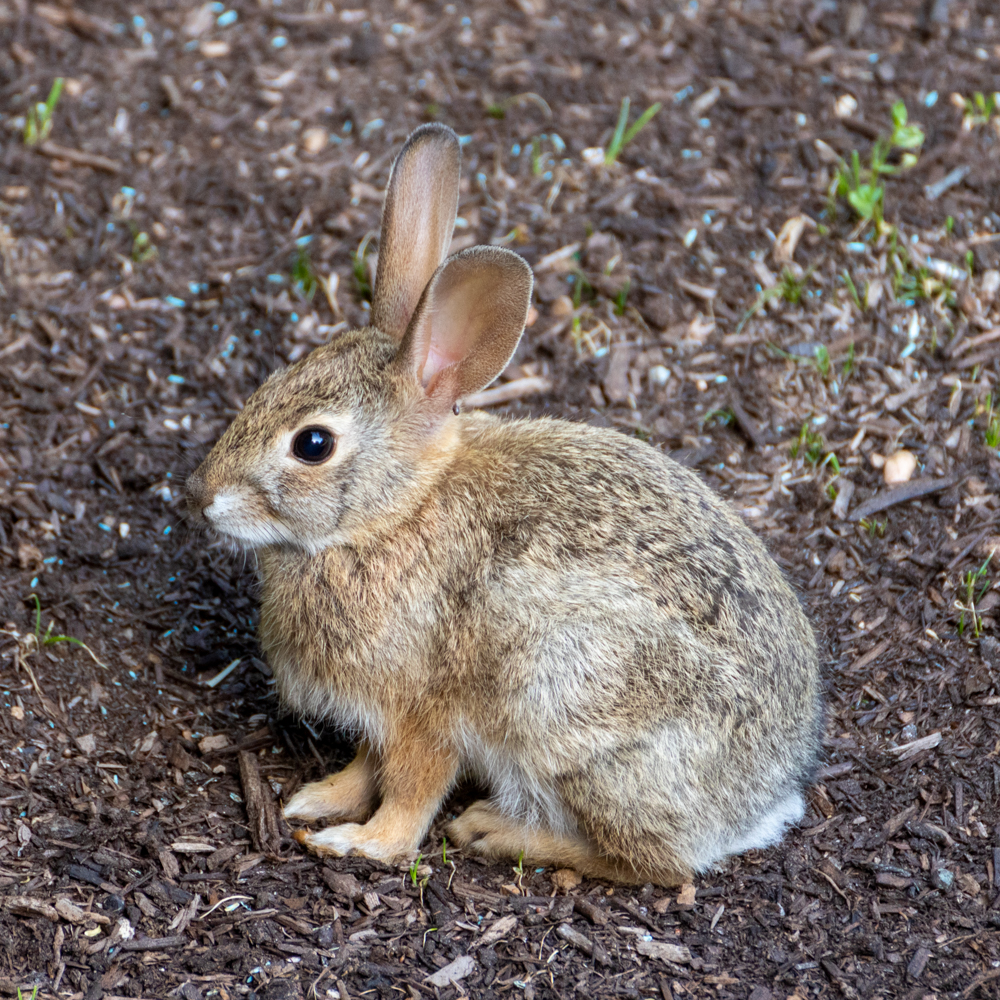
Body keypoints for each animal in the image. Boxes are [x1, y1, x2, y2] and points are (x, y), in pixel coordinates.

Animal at [186, 122, 822, 886]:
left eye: (312, 444)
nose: (202, 497)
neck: (392, 514)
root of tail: (763, 800)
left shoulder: (423, 711)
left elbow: (411, 788)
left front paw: (360, 843)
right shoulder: (378, 714)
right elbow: (366, 765)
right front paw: (318, 798)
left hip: (571, 712)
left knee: (655, 864)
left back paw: (497, 831)